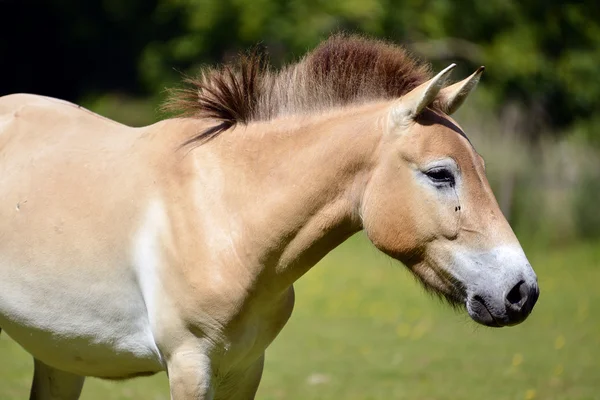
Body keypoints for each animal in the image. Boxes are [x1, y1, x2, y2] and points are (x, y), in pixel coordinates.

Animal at [0, 36, 540, 398]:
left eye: (481, 167)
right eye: (441, 173)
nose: (522, 292)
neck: (224, 217)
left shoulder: (245, 368)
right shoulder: (189, 366)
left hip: (60, 355)